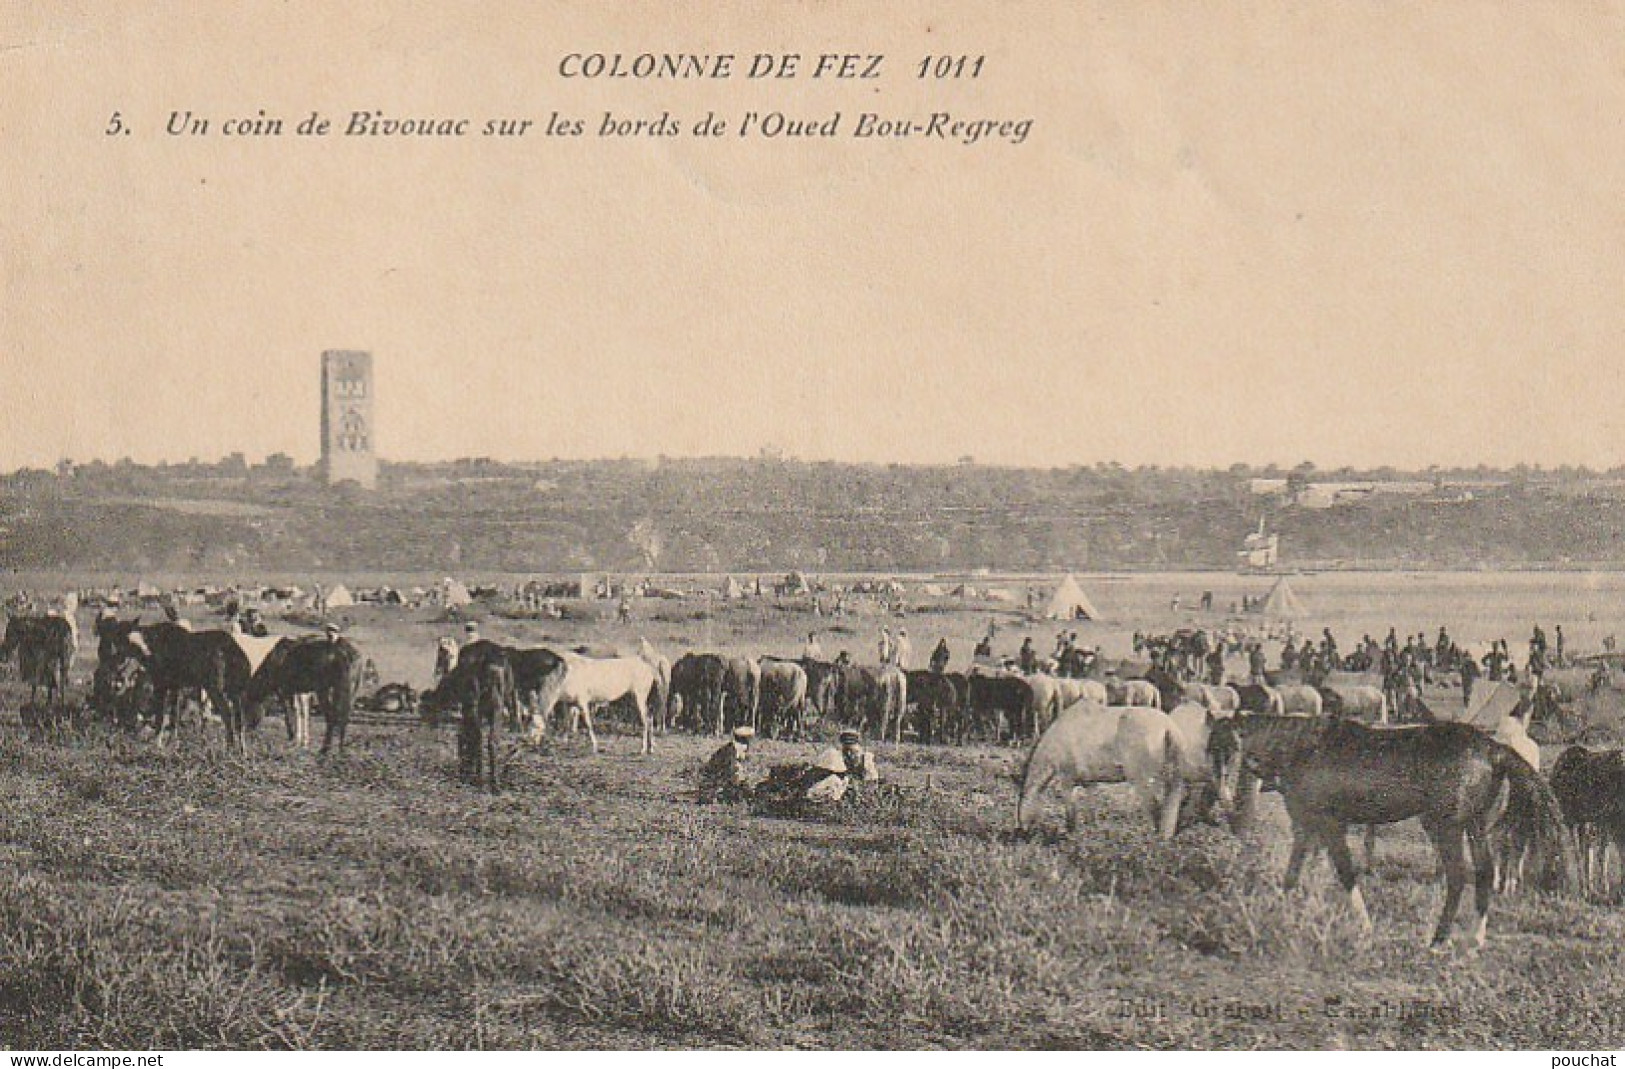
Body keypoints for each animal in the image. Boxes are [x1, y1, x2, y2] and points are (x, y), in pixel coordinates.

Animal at [1209, 711, 1573, 942]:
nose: (1223, 797)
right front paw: (1283, 912)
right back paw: (1474, 940)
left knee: (1458, 876)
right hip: (1475, 825)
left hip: (1445, 827)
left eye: (1231, 750)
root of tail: (1493, 749)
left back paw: (1438, 940)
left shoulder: (1331, 824)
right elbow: (1294, 873)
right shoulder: (1306, 826)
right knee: (1484, 872)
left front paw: (1365, 927)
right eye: (1211, 749)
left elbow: (1345, 872)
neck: (1304, 747)